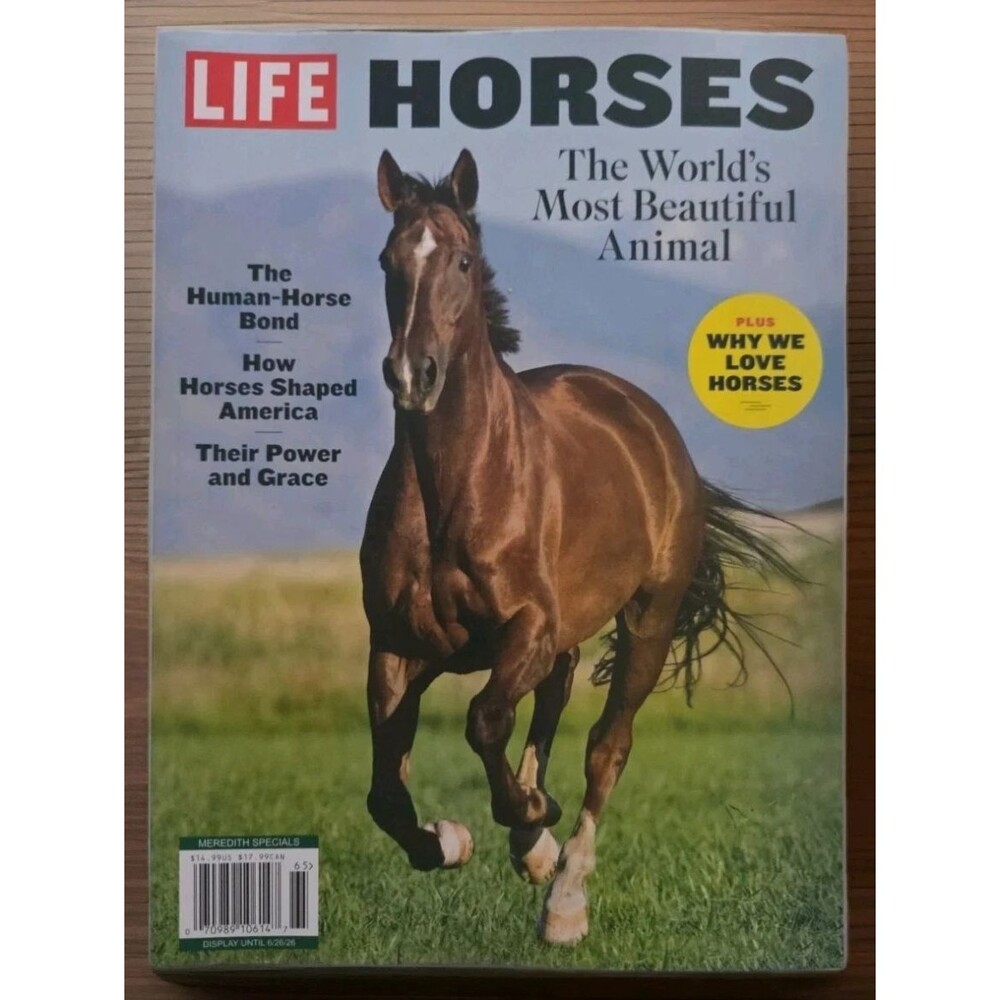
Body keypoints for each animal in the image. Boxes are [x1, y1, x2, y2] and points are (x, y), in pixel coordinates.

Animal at [360, 149, 796, 946]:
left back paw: (563, 896)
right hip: (554, 643)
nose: (413, 375)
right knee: (550, 712)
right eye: (387, 260)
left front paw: (534, 833)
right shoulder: (399, 645)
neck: (455, 488)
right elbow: (386, 793)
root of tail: (648, 421)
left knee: (605, 747)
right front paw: (454, 840)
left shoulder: (527, 629)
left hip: (647, 622)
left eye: (462, 260)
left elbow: (485, 722)